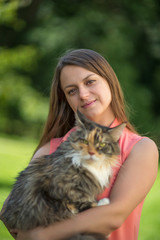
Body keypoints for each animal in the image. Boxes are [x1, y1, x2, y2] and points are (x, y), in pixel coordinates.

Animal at [0, 111, 125, 239]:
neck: (91, 166)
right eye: (85, 141)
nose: (91, 153)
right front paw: (103, 202)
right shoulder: (56, 195)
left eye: (102, 144)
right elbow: (80, 204)